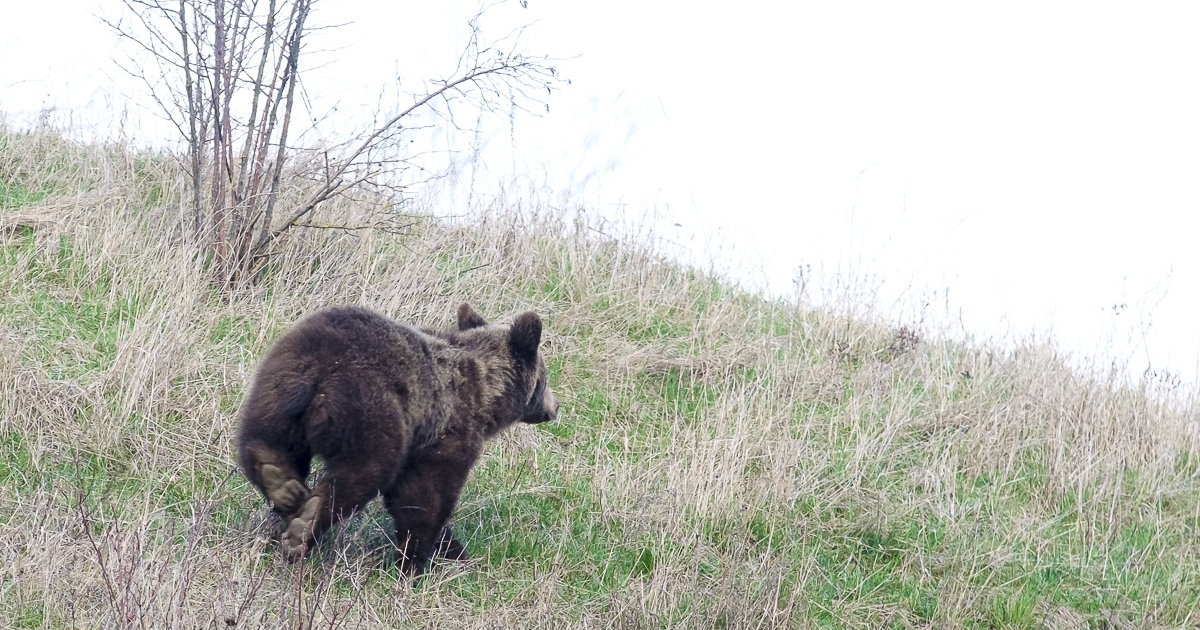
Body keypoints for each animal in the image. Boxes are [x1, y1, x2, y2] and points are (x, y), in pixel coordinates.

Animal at [236, 301, 559, 573]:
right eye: (544, 380)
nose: (555, 407)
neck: (488, 393)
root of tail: (322, 364)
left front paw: (451, 551)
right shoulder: (445, 434)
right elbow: (423, 498)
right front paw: (418, 560)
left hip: (276, 385)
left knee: (266, 439)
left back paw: (279, 482)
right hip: (372, 410)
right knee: (363, 472)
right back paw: (303, 527)